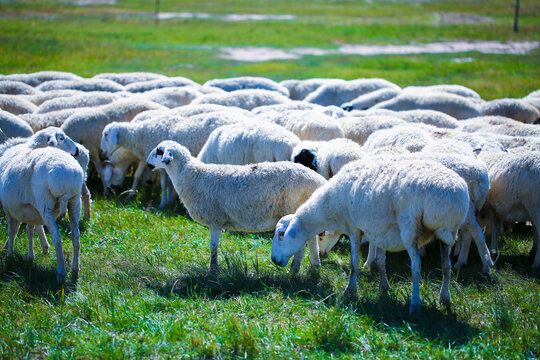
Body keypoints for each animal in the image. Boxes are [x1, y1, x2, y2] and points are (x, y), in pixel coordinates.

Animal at [0, 146, 83, 282]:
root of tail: (67, 177)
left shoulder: (8, 209)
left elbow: (12, 231)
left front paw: (9, 255)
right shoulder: (31, 211)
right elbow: (28, 230)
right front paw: (30, 256)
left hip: (45, 204)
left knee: (57, 236)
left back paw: (61, 272)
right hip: (75, 202)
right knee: (76, 235)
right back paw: (75, 268)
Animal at [146, 139, 326, 272]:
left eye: (159, 151)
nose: (148, 164)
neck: (193, 176)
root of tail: (318, 180)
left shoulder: (215, 220)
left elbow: (213, 246)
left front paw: (213, 270)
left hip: (293, 209)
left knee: (303, 243)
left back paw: (295, 270)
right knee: (311, 240)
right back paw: (315, 265)